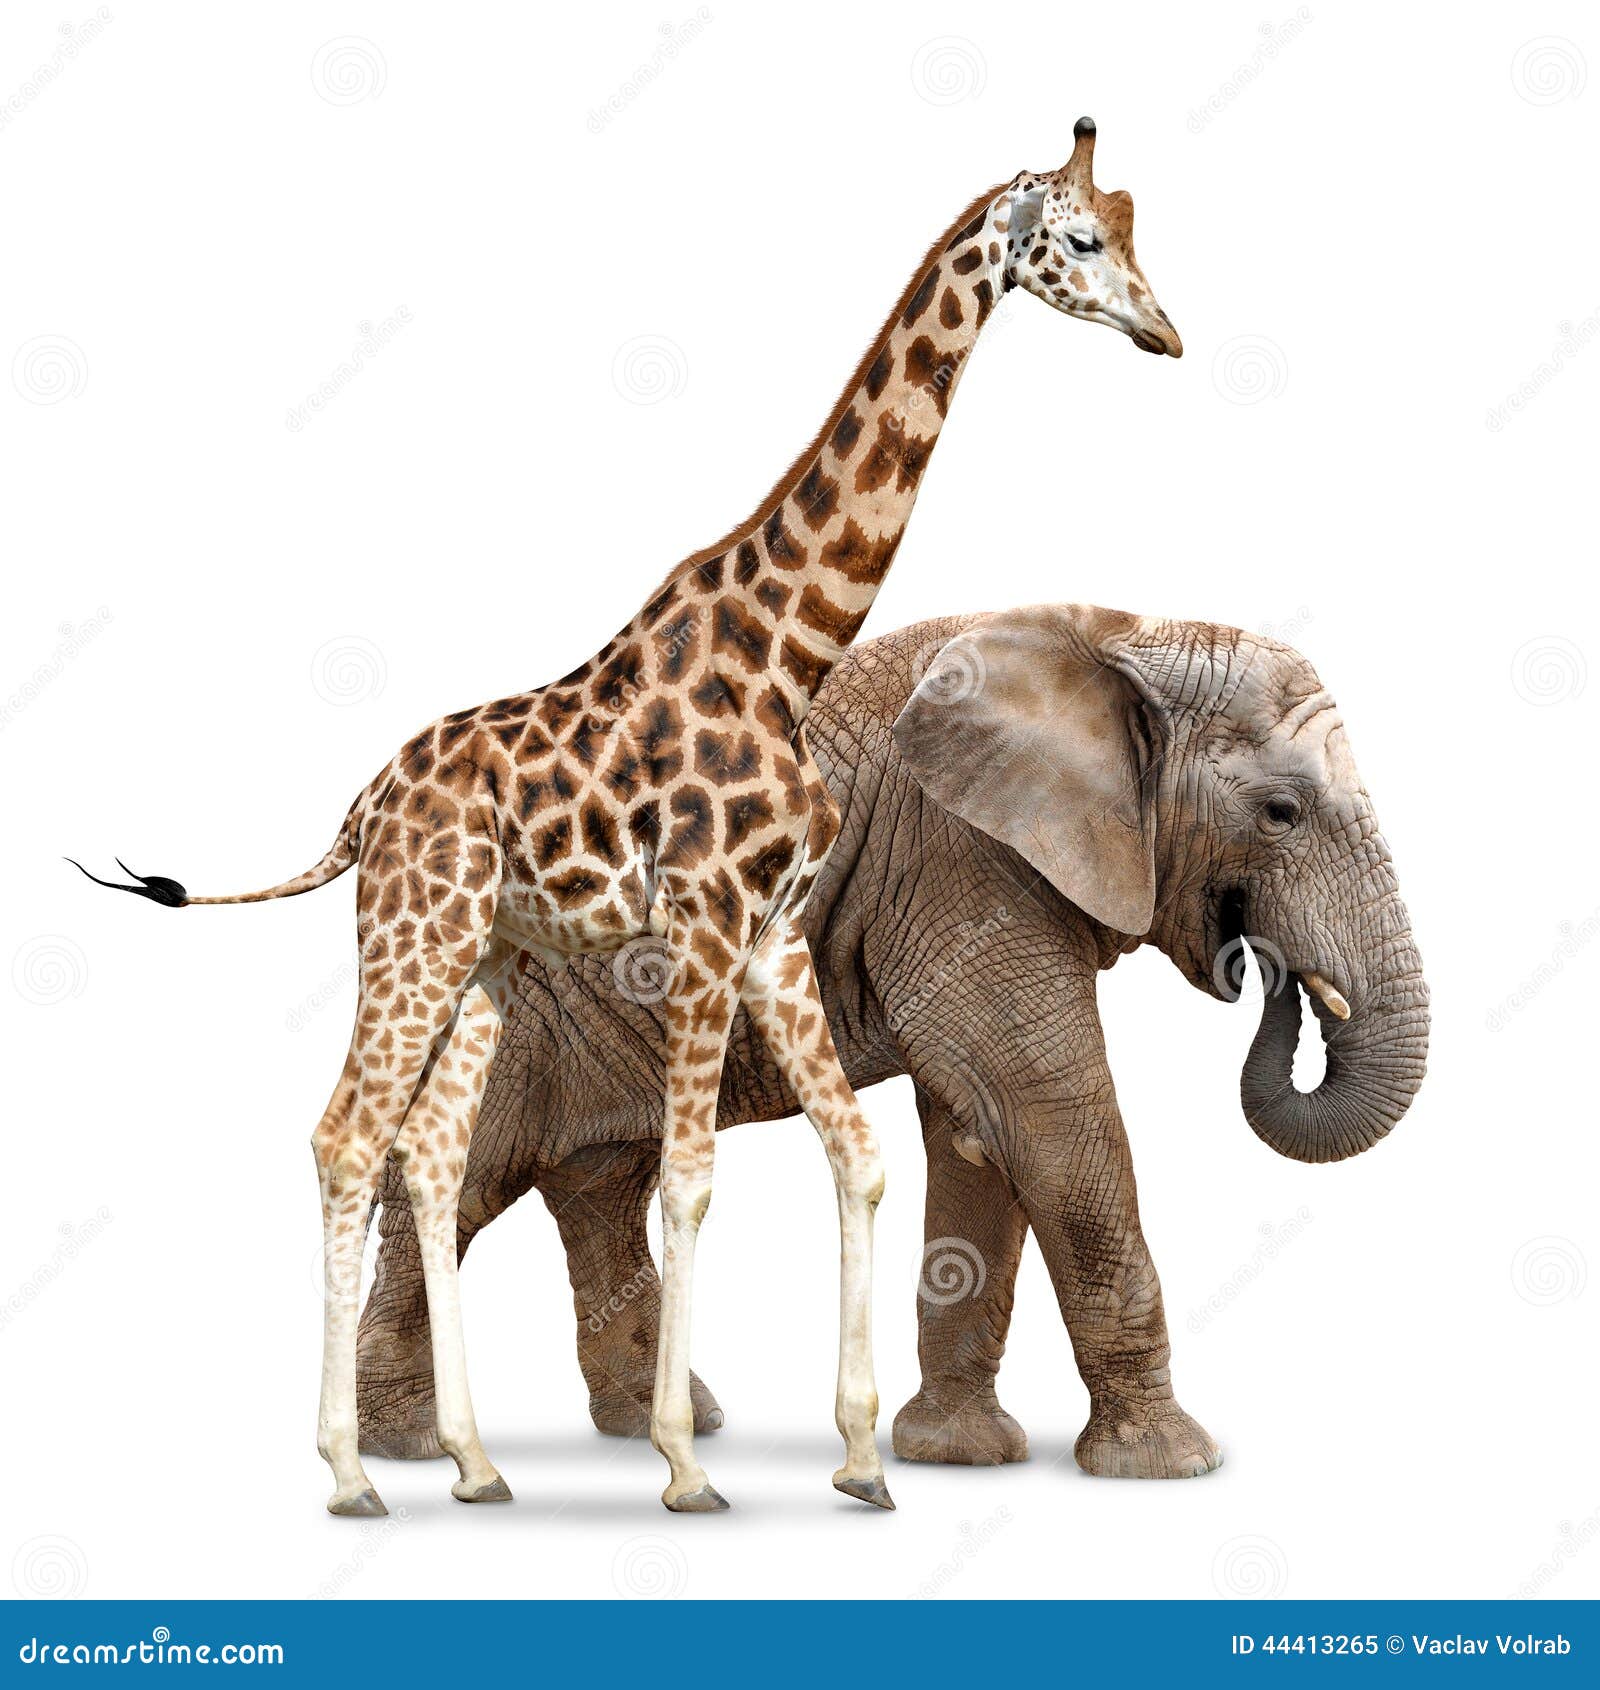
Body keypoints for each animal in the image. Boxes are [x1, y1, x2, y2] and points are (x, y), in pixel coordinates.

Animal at [73, 118, 1181, 1516]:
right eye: (1082, 238)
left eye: (1135, 231)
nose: (1165, 332)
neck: (789, 654)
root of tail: (364, 805)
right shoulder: (702, 929)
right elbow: (693, 1182)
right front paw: (683, 1465)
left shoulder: (774, 936)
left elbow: (857, 1156)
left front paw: (862, 1462)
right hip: (415, 937)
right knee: (344, 1138)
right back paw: (348, 1472)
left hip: (490, 964)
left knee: (428, 1151)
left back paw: (475, 1464)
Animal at [354, 602, 1429, 1476]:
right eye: (1281, 812)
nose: (1264, 968)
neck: (1125, 636)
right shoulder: (962, 857)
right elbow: (1044, 1113)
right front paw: (1171, 1465)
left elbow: (977, 1134)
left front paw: (954, 1454)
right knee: (462, 1184)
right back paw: (408, 1447)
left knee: (599, 1187)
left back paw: (663, 1427)